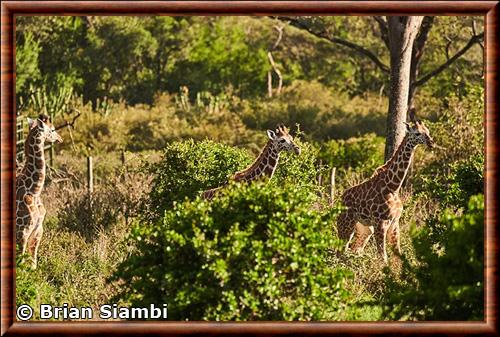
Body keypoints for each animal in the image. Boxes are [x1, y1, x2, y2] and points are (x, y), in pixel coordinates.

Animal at [15, 114, 62, 266]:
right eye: (52, 129)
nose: (60, 138)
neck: (33, 191)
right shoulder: (21, 232)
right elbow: (21, 264)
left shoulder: (37, 231)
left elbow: (33, 264)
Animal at [336, 116, 434, 262]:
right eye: (417, 133)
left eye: (427, 131)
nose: (431, 143)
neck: (393, 187)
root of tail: (339, 200)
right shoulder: (381, 223)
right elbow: (383, 257)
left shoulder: (394, 223)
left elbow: (398, 255)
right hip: (346, 224)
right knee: (340, 251)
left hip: (365, 228)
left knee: (355, 250)